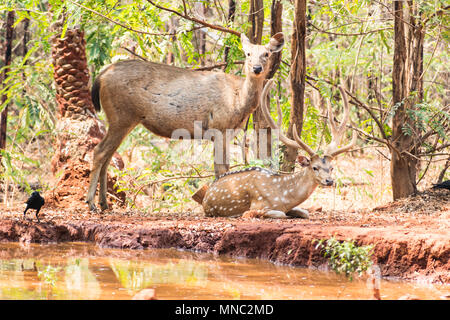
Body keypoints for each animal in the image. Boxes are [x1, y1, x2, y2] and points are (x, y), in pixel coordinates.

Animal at [195, 80, 356, 220]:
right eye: (314, 167)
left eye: (331, 167)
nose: (329, 180)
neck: (284, 196)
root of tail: (207, 193)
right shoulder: (259, 204)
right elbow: (279, 214)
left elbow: (304, 212)